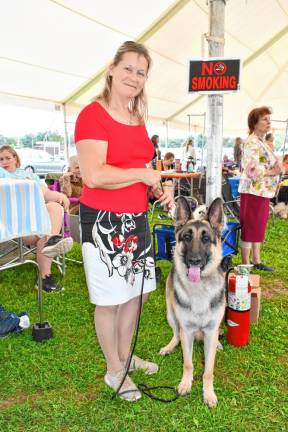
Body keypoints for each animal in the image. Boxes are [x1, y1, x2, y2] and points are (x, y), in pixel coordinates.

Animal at [160, 197, 225, 406]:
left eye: (206, 239)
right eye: (187, 237)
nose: (195, 260)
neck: (199, 290)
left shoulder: (211, 331)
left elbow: (208, 371)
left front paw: (208, 393)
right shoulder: (187, 330)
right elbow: (188, 363)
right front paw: (186, 384)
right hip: (171, 316)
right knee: (176, 335)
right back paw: (169, 346)